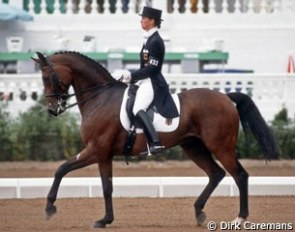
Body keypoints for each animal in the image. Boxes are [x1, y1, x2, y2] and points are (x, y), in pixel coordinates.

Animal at [33, 51, 280, 228]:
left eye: (47, 77)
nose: (52, 110)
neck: (100, 98)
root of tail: (225, 97)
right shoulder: (103, 155)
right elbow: (106, 187)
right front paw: (105, 220)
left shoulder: (95, 150)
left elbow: (61, 169)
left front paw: (49, 208)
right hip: (194, 147)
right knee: (216, 174)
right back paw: (199, 212)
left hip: (221, 147)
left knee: (240, 175)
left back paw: (240, 218)